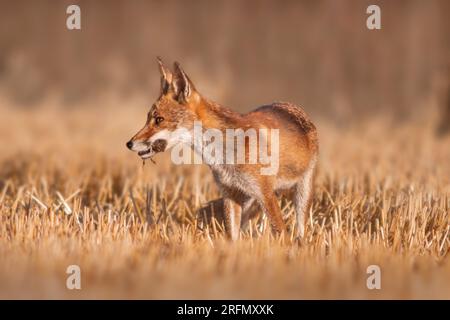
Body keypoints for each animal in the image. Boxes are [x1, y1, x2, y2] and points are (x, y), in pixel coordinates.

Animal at [125, 57, 316, 240]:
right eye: (148, 118)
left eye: (159, 120)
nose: (129, 143)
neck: (225, 155)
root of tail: (291, 105)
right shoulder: (230, 194)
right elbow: (232, 237)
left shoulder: (265, 195)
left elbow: (282, 234)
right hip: (247, 199)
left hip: (302, 193)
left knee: (301, 229)